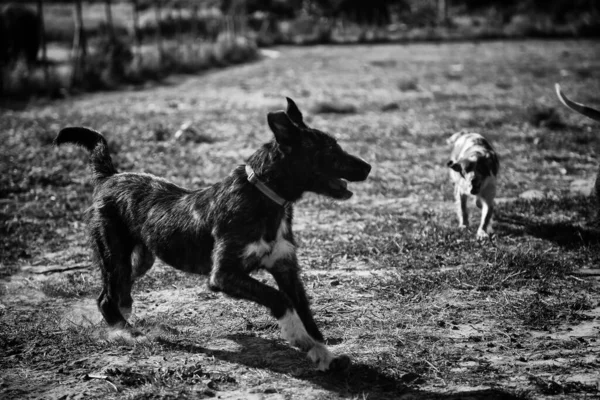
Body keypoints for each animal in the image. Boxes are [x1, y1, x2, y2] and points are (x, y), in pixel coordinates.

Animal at [57, 97, 376, 372]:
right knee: (105, 298)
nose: (369, 167)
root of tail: (109, 177)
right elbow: (278, 299)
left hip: (141, 259)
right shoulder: (224, 275)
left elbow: (305, 308)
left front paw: (321, 351)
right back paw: (127, 333)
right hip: (115, 254)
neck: (264, 197)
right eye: (329, 151)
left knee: (118, 293)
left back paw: (125, 316)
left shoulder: (285, 266)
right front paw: (298, 337)